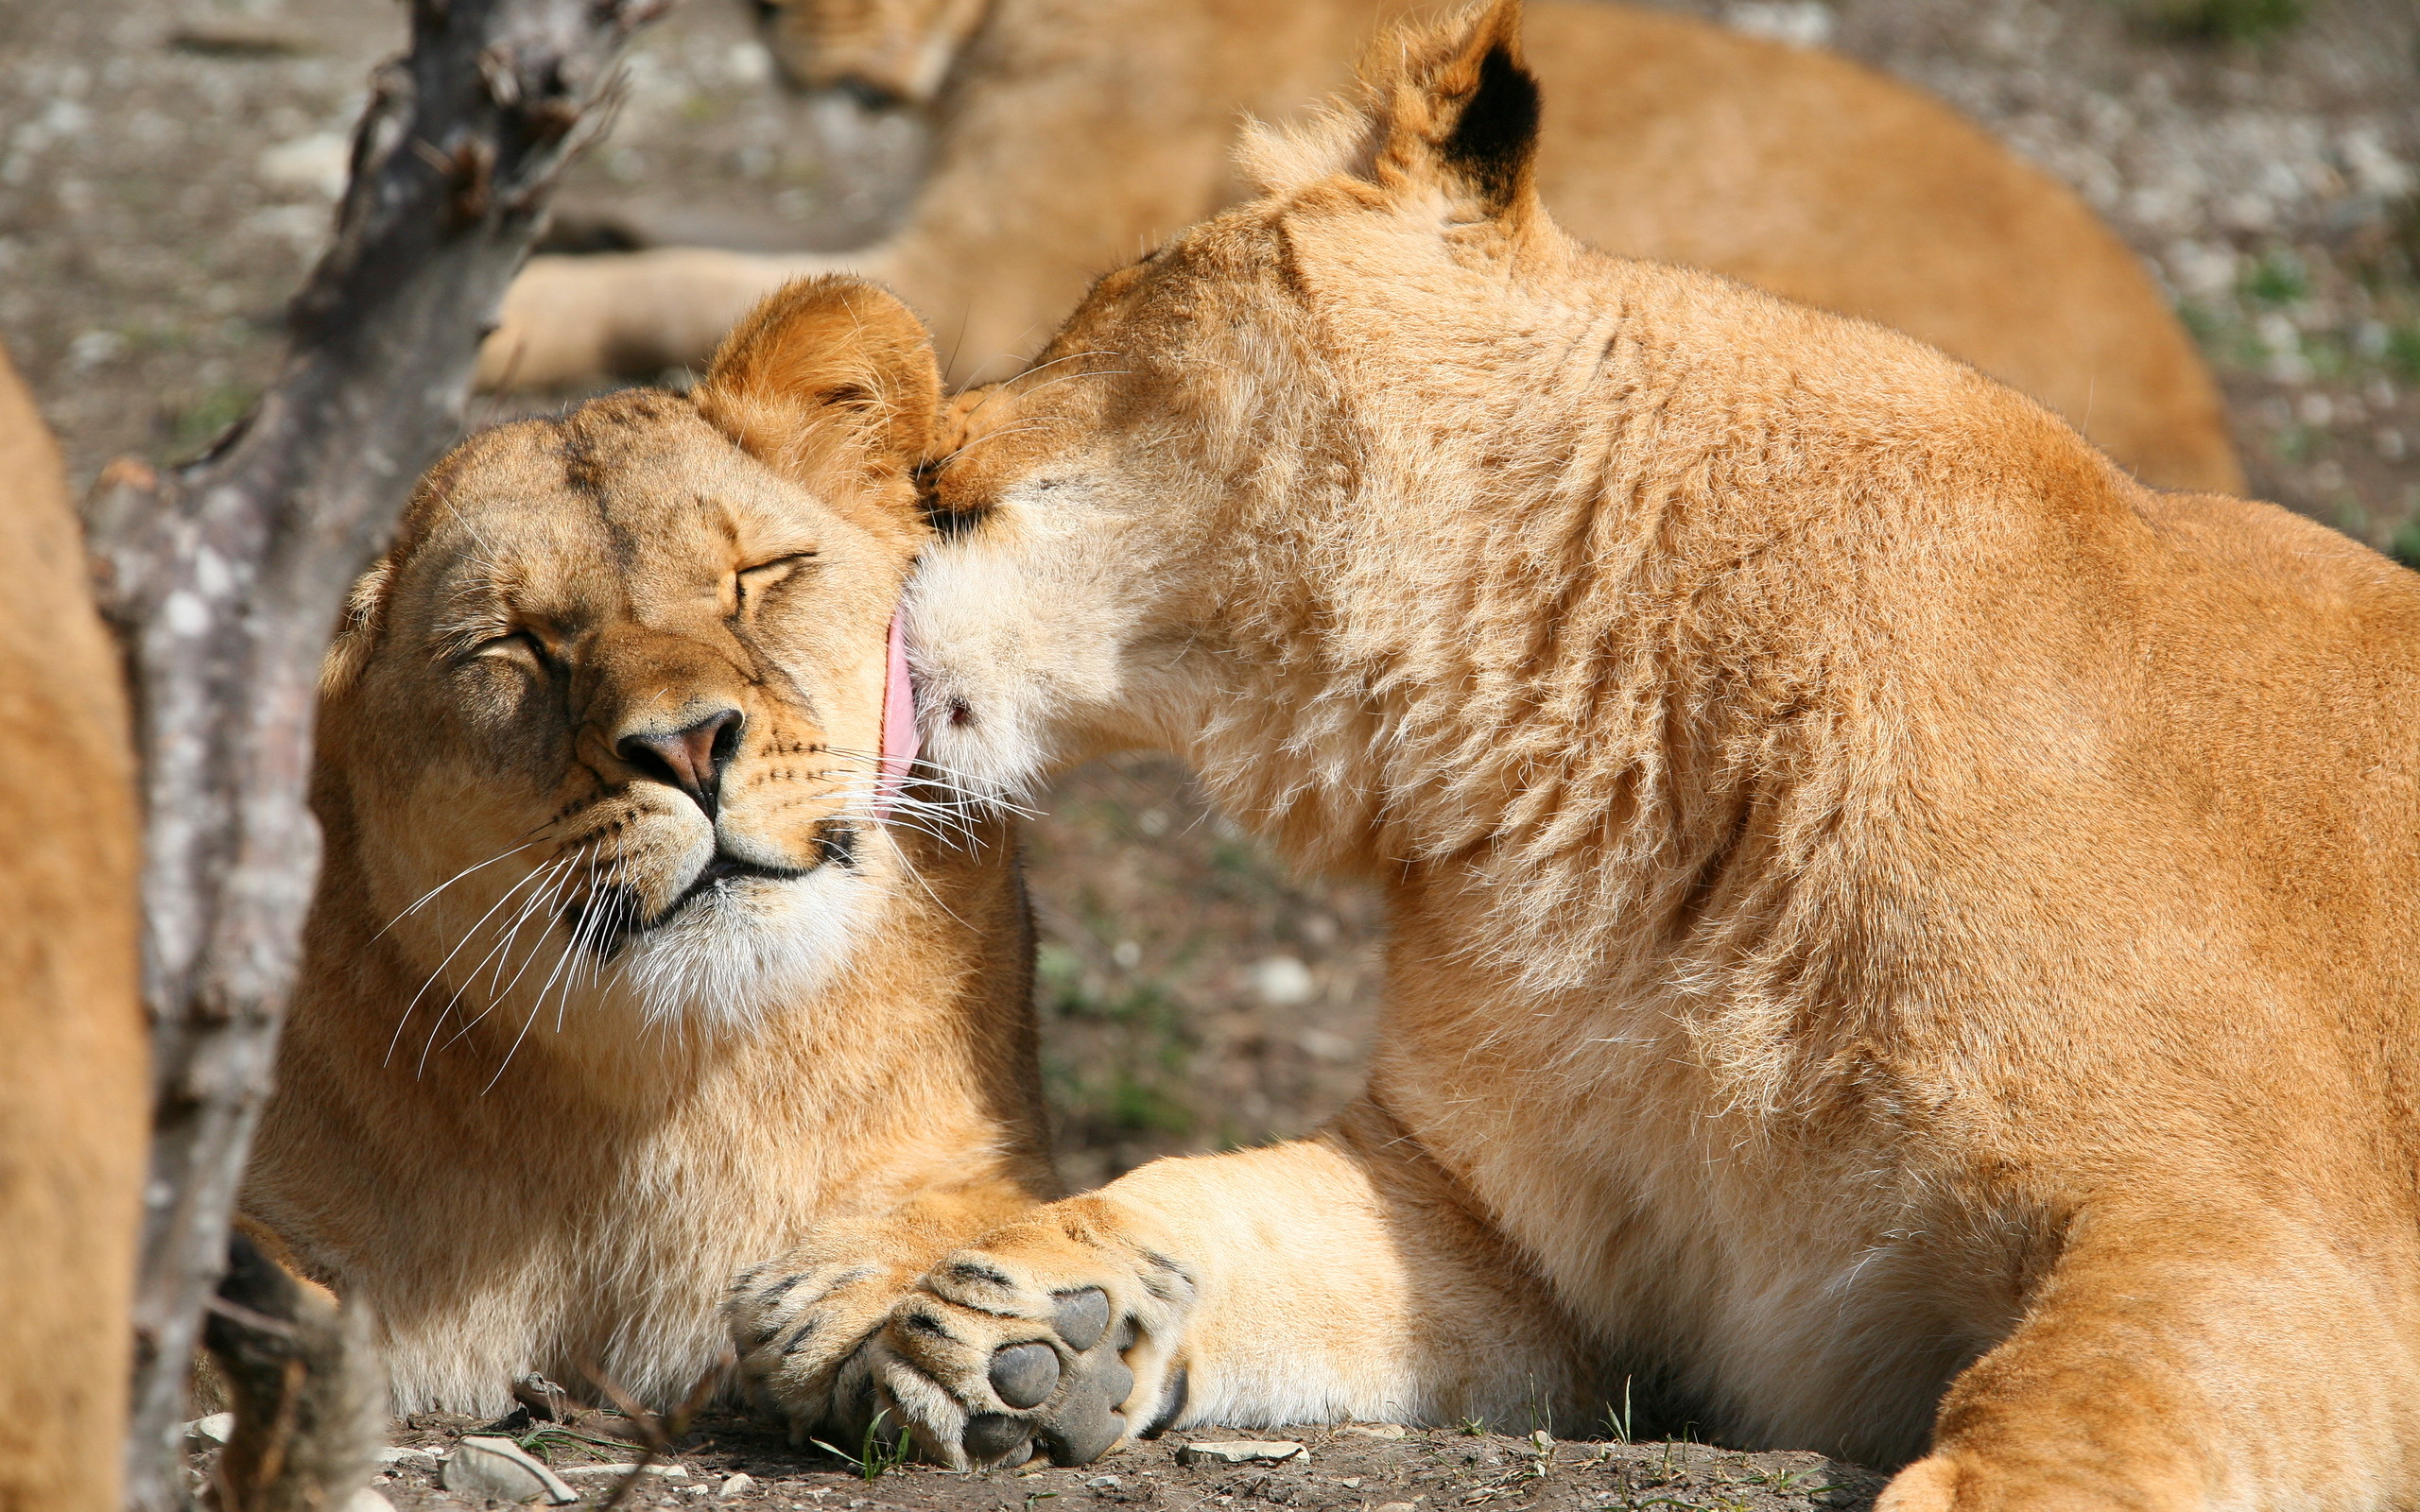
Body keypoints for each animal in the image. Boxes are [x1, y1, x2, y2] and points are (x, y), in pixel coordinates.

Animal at [236, 277, 1058, 1419]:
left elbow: (994, 1209)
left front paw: (898, 1305)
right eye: (513, 643)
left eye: (758, 574)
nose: (687, 746)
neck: (660, 1105)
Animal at [723, 7, 2420, 1505]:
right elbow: (1217, 1199)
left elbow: (2086, 1414)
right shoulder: (1499, 1241)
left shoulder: (2249, 1230)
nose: (906, 440)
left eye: (1098, 298)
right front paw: (987, 1313)